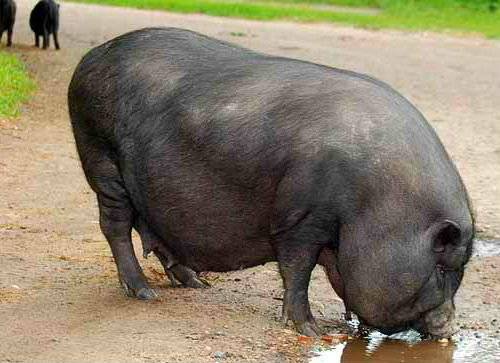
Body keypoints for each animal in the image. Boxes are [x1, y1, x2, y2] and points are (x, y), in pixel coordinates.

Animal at [68, 27, 474, 338]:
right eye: (443, 267)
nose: (451, 328)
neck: (375, 204)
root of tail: (89, 58)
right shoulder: (301, 218)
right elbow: (297, 270)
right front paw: (311, 330)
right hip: (100, 158)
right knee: (116, 225)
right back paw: (144, 293)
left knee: (149, 228)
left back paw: (197, 284)